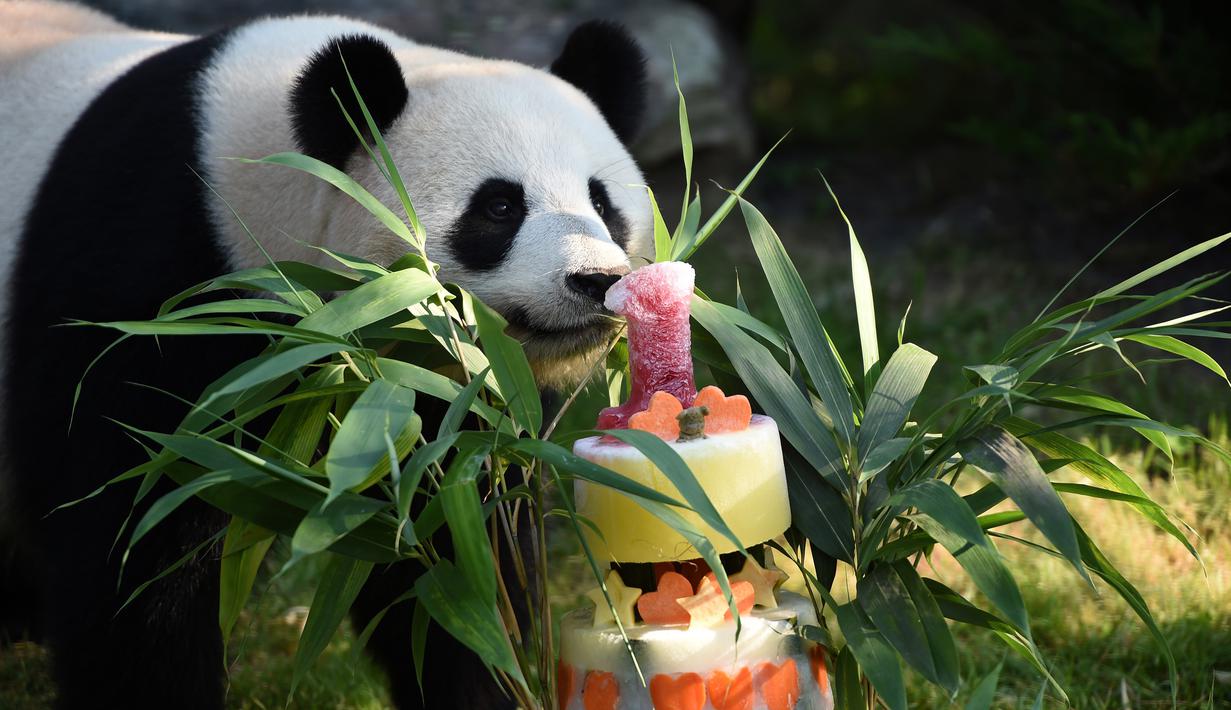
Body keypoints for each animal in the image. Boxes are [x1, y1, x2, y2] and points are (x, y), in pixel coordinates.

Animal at [0, 2, 651, 707]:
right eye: (501, 206)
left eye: (601, 202)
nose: (596, 281)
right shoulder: (147, 284)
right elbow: (135, 528)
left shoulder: (445, 398)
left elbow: (451, 543)